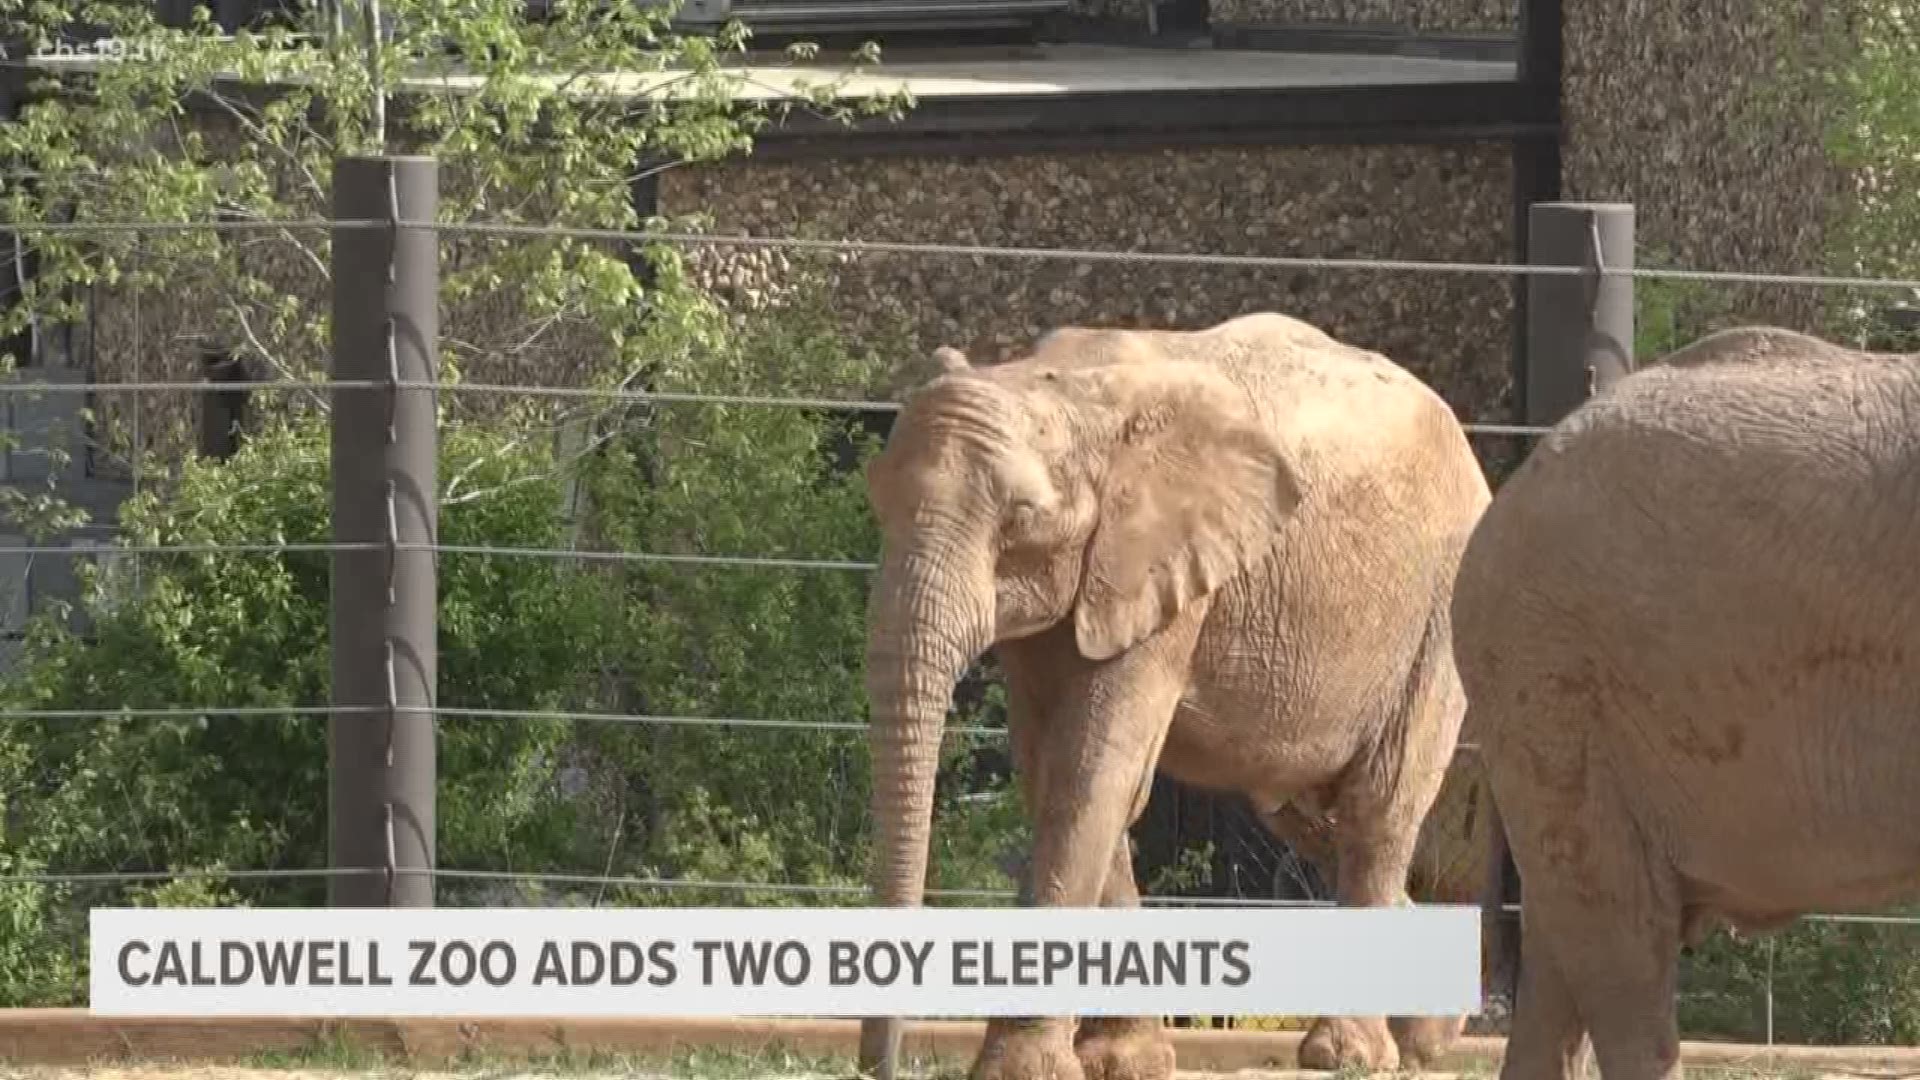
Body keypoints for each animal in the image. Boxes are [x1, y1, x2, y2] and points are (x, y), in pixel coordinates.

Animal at [856, 309, 1497, 1076]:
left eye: (1021, 522)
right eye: (877, 503)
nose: (880, 1065)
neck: (1062, 390)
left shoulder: (1160, 575)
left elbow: (1089, 774)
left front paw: (1023, 1068)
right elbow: (1057, 776)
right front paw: (1123, 1060)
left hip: (1441, 611)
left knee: (1379, 808)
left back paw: (1348, 1054)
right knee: (1312, 818)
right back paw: (1429, 1035)